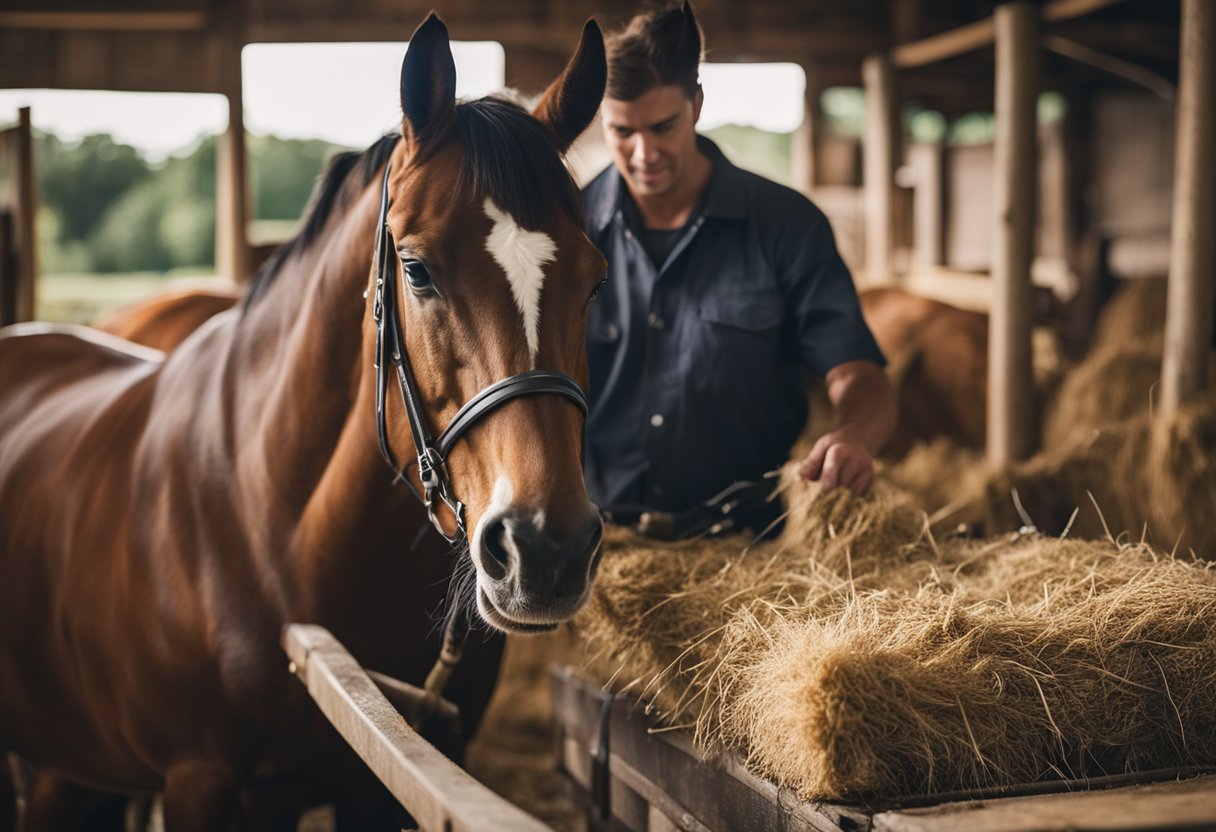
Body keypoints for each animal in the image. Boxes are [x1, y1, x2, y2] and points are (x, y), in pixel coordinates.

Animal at [0, 14, 608, 832]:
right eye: (415, 269)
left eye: (594, 276)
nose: (547, 549)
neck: (271, 526)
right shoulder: (199, 784)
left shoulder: (383, 781)